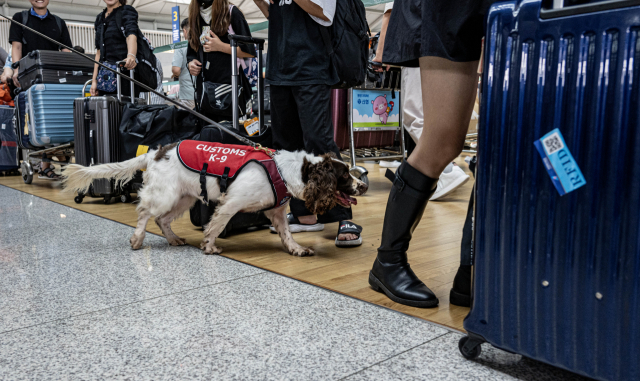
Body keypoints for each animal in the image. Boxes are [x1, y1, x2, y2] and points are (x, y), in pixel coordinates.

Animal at [63, 142, 370, 255]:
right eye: (345, 175)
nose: (363, 186)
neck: (288, 170)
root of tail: (155, 152)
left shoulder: (277, 213)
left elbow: (286, 234)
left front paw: (296, 249)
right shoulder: (231, 202)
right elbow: (217, 225)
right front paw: (209, 246)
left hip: (184, 198)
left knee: (162, 220)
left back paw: (173, 239)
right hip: (166, 195)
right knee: (145, 213)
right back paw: (137, 240)